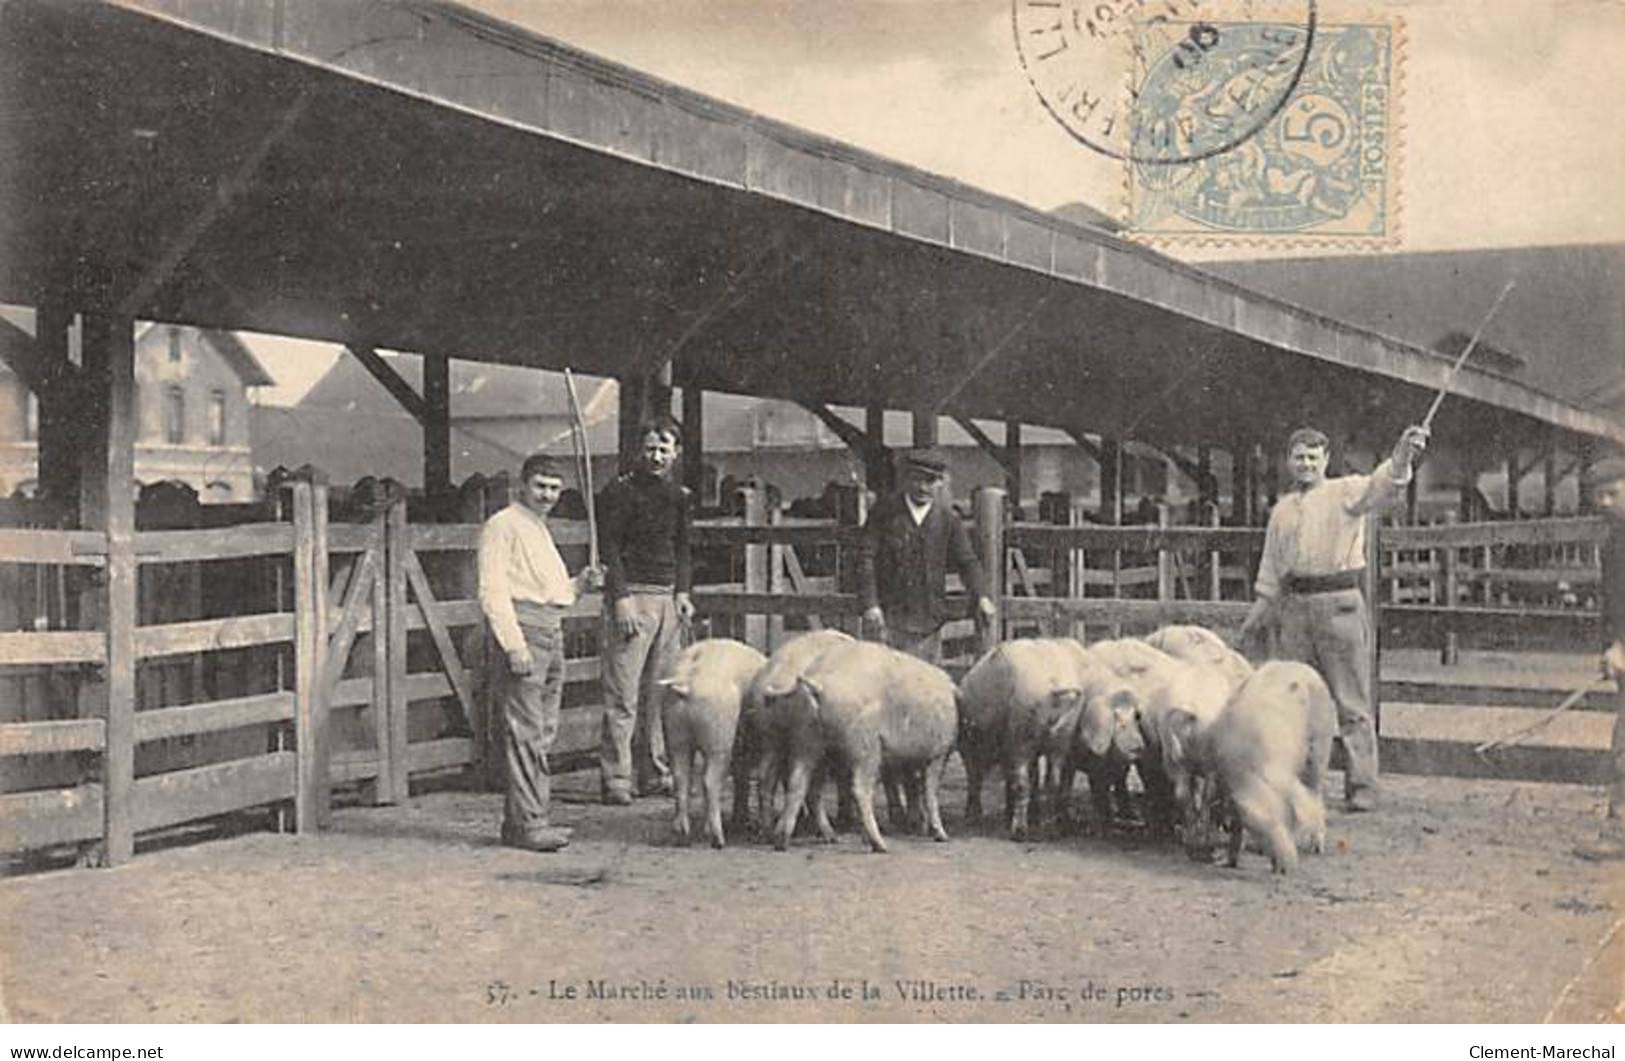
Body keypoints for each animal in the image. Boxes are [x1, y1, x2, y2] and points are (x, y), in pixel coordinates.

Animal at [656, 633, 763, 851]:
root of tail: (687, 680)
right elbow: (742, 779)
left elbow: (741, 778)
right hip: (719, 739)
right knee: (709, 781)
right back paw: (718, 840)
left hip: (674, 734)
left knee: (681, 778)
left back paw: (683, 836)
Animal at [770, 636, 949, 851]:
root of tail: (819, 684)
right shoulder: (939, 752)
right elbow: (930, 791)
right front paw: (941, 835)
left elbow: (914, 786)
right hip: (864, 747)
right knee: (859, 790)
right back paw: (880, 845)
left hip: (807, 739)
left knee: (799, 784)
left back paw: (787, 841)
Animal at [955, 633, 1098, 838]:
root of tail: (1054, 686)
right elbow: (1032, 777)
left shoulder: (975, 749)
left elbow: (978, 779)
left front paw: (974, 817)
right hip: (1060, 739)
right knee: (1054, 781)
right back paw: (1052, 828)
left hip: (1022, 738)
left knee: (1021, 783)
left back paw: (1019, 831)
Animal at [1183, 656, 1332, 870]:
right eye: (1259, 829)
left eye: (1284, 819)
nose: (1288, 867)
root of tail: (1301, 665)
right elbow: (1235, 827)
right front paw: (1229, 862)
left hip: (1321, 745)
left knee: (1316, 792)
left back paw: (1316, 848)